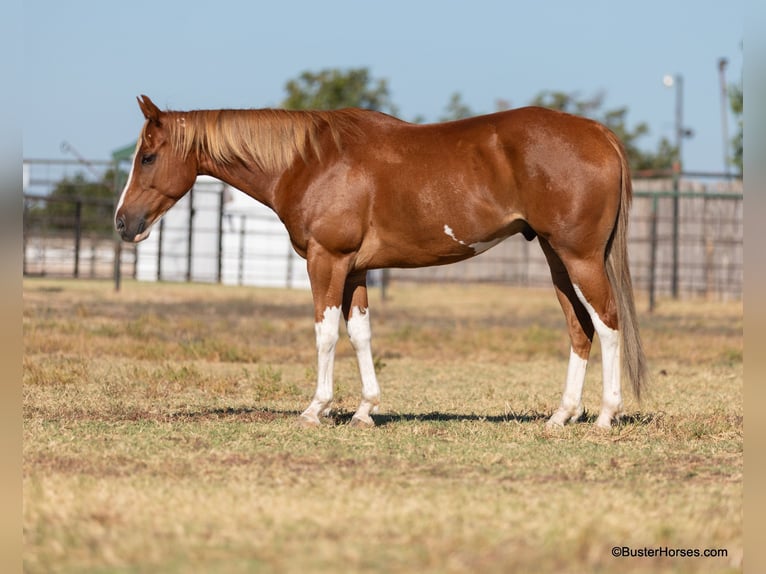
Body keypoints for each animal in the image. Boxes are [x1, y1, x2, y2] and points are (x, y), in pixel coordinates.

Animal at [115, 95, 647, 429]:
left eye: (147, 157)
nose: (123, 223)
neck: (309, 161)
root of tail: (598, 133)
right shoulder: (355, 269)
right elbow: (360, 334)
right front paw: (364, 410)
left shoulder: (326, 261)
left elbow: (326, 333)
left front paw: (316, 409)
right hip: (557, 259)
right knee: (579, 328)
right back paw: (562, 415)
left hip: (579, 258)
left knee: (607, 323)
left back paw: (605, 415)